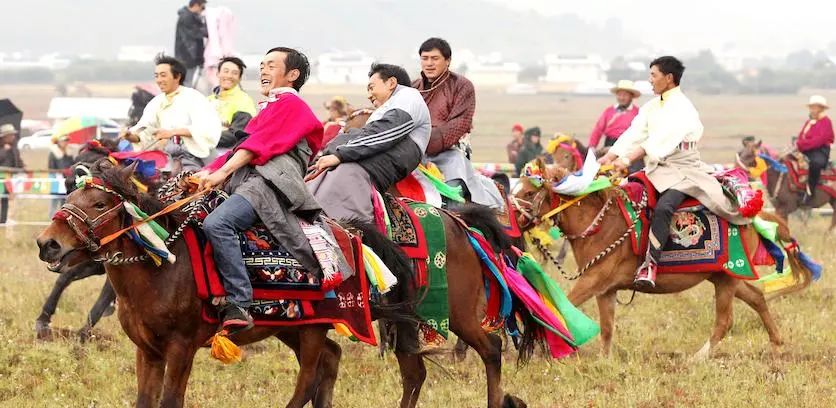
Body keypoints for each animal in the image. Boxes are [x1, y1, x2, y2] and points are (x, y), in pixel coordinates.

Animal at [36, 161, 528, 406]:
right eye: (70, 193)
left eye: (99, 202)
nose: (47, 244)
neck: (163, 268)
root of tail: (457, 220)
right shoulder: (148, 351)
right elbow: (144, 402)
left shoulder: (180, 347)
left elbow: (172, 401)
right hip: (310, 324)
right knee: (370, 367)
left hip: (450, 311)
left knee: (489, 349)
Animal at [512, 163, 812, 360]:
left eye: (528, 193)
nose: (511, 222)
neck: (600, 225)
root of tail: (753, 215)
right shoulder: (605, 289)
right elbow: (607, 328)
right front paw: (604, 360)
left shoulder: (593, 280)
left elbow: (561, 307)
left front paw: (539, 348)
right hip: (724, 276)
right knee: (757, 297)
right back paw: (776, 345)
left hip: (727, 277)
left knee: (725, 320)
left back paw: (698, 358)